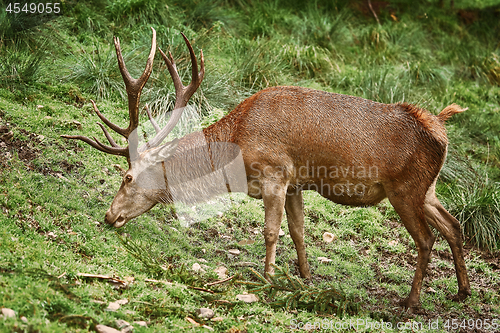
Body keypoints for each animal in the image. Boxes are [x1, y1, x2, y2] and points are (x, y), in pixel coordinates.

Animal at [60, 28, 470, 308]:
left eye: (127, 177)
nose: (110, 216)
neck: (238, 144)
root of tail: (440, 127)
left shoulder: (275, 172)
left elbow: (272, 231)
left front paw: (268, 277)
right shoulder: (295, 183)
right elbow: (299, 232)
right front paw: (305, 277)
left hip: (405, 189)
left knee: (426, 239)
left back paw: (411, 301)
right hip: (428, 188)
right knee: (453, 224)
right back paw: (462, 292)